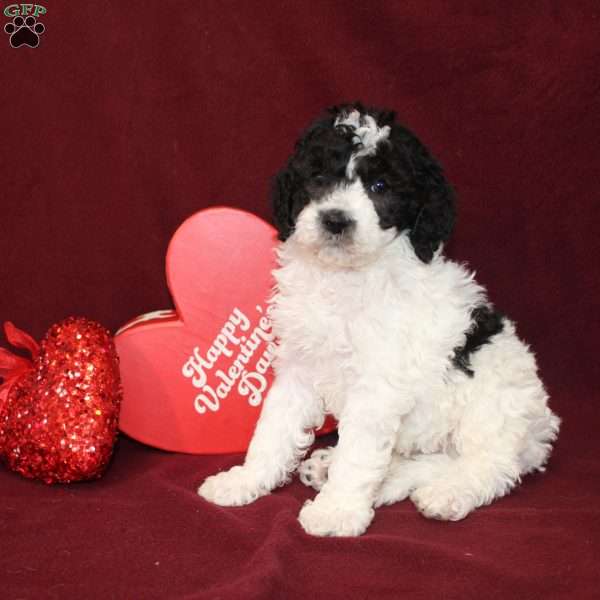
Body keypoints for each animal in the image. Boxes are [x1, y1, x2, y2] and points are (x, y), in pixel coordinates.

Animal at [199, 104, 560, 540]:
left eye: (380, 186)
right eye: (319, 178)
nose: (336, 220)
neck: (344, 278)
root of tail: (540, 426)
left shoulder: (377, 384)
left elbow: (358, 453)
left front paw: (336, 511)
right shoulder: (299, 367)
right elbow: (273, 429)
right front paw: (245, 480)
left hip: (493, 402)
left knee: (487, 463)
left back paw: (447, 493)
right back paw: (354, 473)